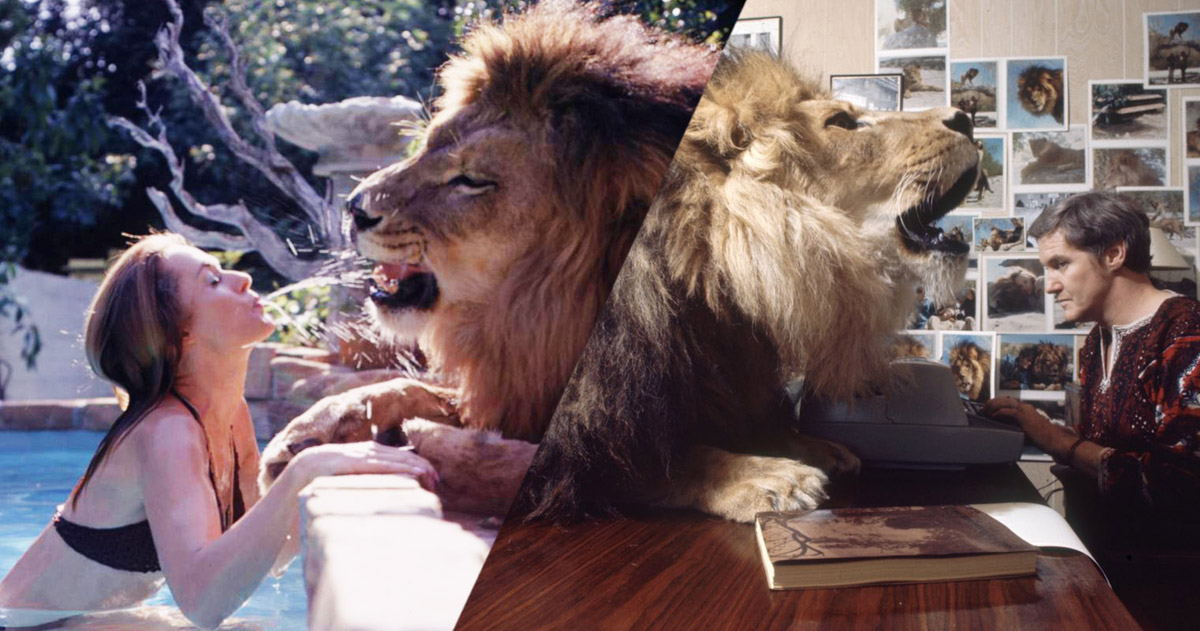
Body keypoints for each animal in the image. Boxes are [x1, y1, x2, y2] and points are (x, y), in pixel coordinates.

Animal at [258, 2, 718, 514]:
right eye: (428, 143)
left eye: (473, 180)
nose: (354, 209)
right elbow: (405, 386)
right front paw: (306, 432)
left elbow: (518, 464)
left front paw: (418, 443)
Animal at [513, 52, 978, 523]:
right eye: (842, 121)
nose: (967, 119)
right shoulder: (589, 413)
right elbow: (659, 460)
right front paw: (766, 475)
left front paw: (813, 445)